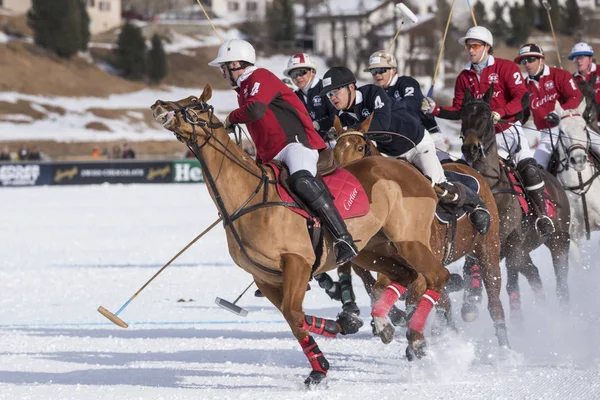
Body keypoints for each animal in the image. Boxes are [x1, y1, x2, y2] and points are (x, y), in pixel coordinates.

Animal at [152, 84, 448, 388]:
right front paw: (322, 363)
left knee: (437, 276)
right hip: (372, 250)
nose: (158, 104)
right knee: (405, 276)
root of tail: (415, 172)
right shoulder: (265, 277)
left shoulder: (297, 261)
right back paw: (385, 324)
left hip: (409, 240)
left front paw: (335, 335)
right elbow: (292, 318)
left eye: (194, 102)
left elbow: (294, 314)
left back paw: (415, 338)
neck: (248, 198)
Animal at [336, 123, 508, 348]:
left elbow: (412, 298)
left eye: (359, 148)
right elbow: (378, 290)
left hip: (488, 249)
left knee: (495, 302)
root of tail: (471, 170)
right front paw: (389, 325)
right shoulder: (392, 265)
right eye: (335, 149)